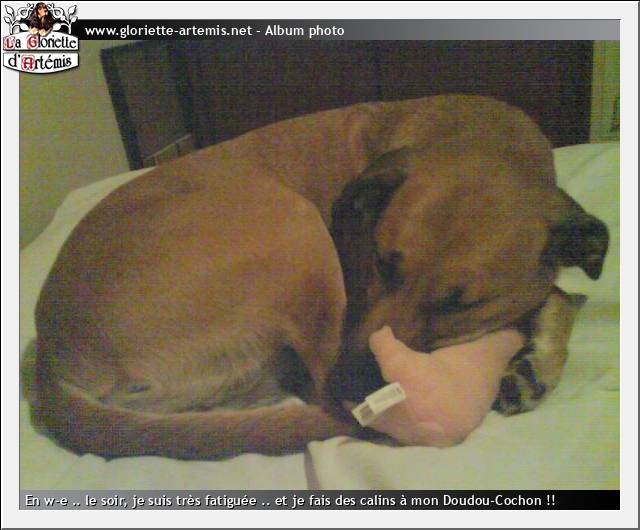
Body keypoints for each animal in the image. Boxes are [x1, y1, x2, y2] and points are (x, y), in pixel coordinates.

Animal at [31, 95, 608, 459]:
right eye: (380, 261)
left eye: (459, 304)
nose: (357, 379)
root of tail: (50, 361)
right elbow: (558, 294)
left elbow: (558, 293)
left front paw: (538, 355)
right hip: (297, 229)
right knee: (321, 386)